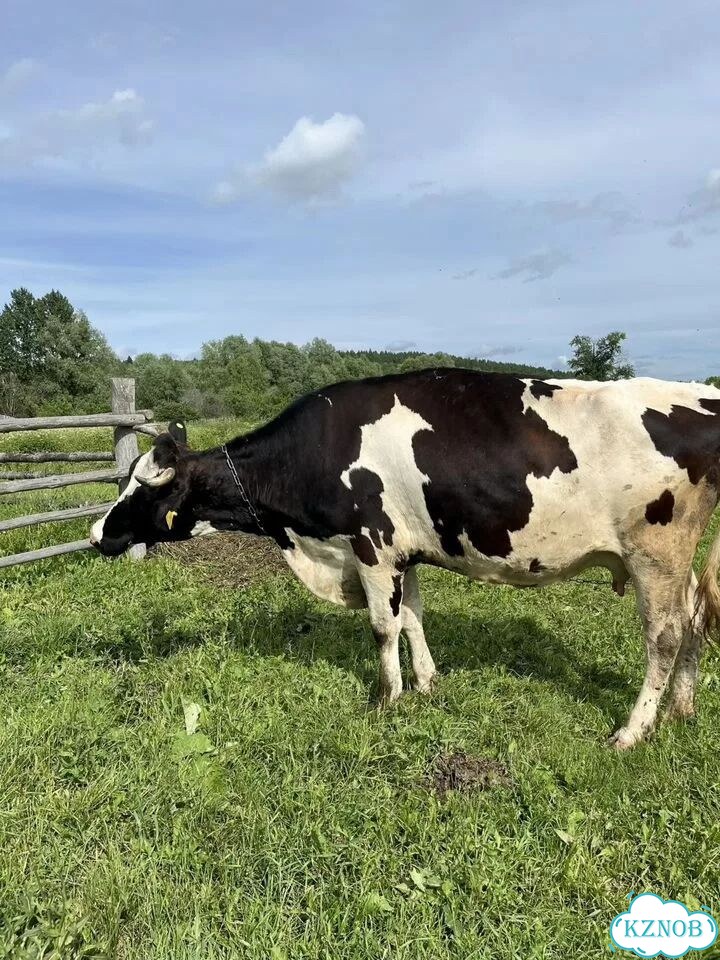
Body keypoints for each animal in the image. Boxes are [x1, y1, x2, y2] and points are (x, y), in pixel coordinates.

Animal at [90, 368, 720, 749]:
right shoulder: (405, 550)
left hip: (655, 551)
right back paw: (682, 708)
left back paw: (633, 731)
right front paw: (426, 684)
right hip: (678, 557)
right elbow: (414, 616)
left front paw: (388, 698)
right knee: (694, 618)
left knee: (664, 635)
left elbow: (382, 626)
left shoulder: (370, 544)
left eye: (142, 488)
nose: (97, 533)